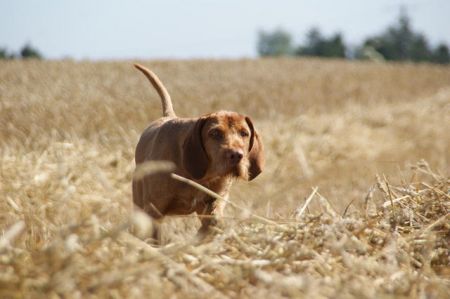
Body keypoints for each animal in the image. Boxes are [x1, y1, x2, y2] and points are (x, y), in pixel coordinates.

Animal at [131, 64, 264, 243]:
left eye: (244, 133)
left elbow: (213, 223)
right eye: (214, 133)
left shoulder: (214, 203)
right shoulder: (153, 210)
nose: (237, 155)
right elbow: (154, 238)